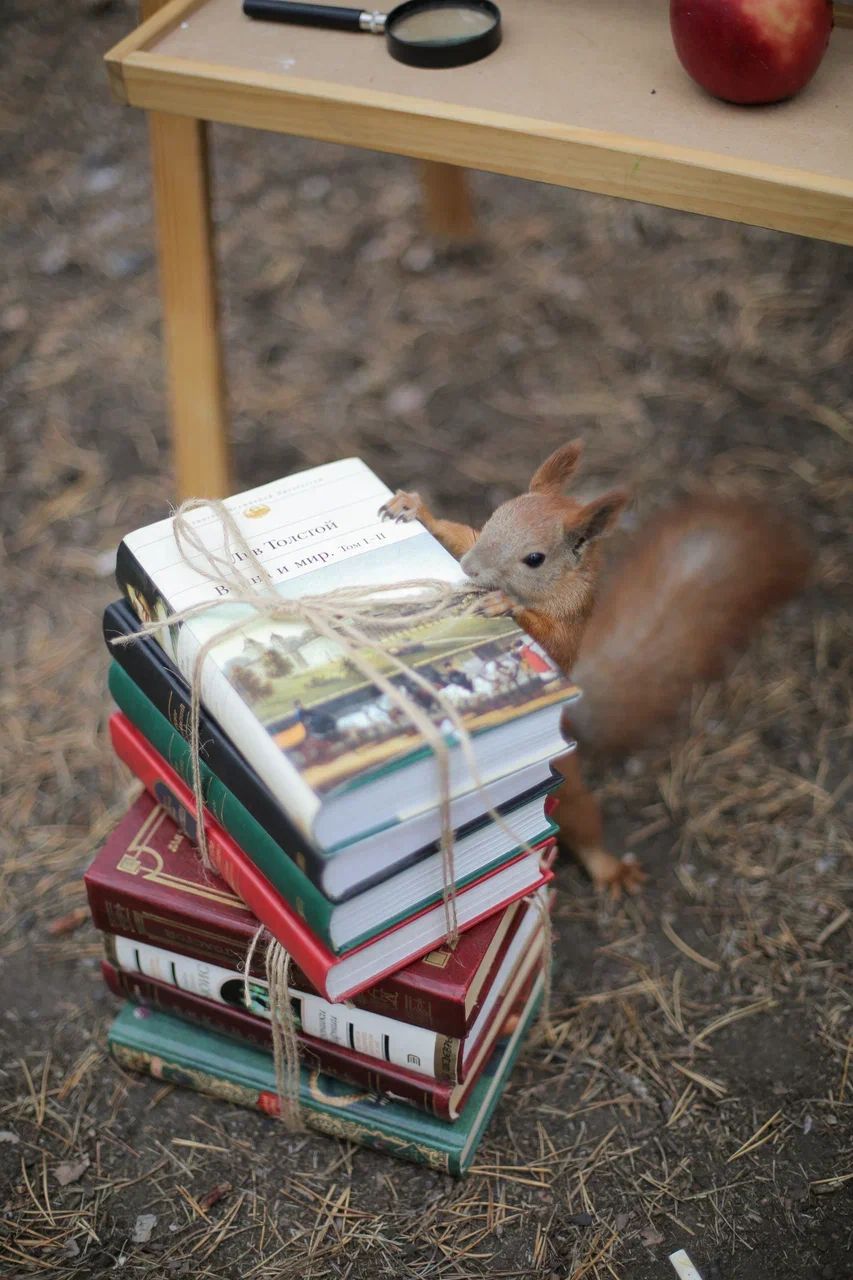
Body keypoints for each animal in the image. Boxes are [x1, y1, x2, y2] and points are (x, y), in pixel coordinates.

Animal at [379, 445, 809, 896]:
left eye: (535, 558)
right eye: (496, 515)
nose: (468, 568)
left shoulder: (570, 625)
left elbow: (550, 641)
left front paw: (506, 605)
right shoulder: (470, 541)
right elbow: (458, 534)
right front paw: (413, 507)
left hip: (569, 790)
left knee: (582, 826)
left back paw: (612, 870)